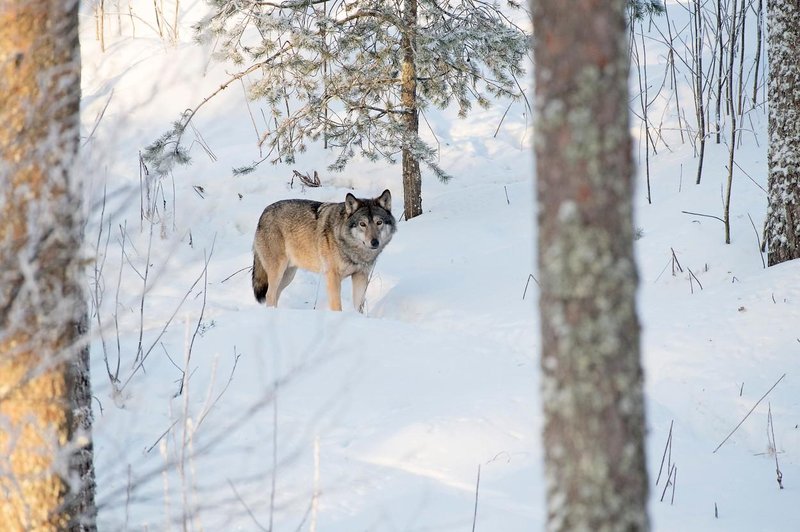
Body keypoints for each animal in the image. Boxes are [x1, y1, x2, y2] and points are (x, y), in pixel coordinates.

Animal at [253, 190, 396, 312]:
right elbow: (337, 306)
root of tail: (264, 212)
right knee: (269, 295)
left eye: (379, 222)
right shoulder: (333, 277)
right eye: (362, 224)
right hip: (278, 272)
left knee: (275, 294)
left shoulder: (360, 275)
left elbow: (358, 306)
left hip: (288, 275)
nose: (375, 242)